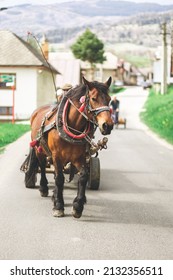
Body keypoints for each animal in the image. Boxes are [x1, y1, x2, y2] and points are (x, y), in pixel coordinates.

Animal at [27, 77, 113, 219]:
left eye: (109, 99)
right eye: (94, 98)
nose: (108, 125)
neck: (73, 127)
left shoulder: (79, 157)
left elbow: (83, 176)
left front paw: (77, 206)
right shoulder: (56, 155)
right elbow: (59, 179)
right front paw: (59, 206)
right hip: (39, 150)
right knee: (43, 166)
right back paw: (44, 188)